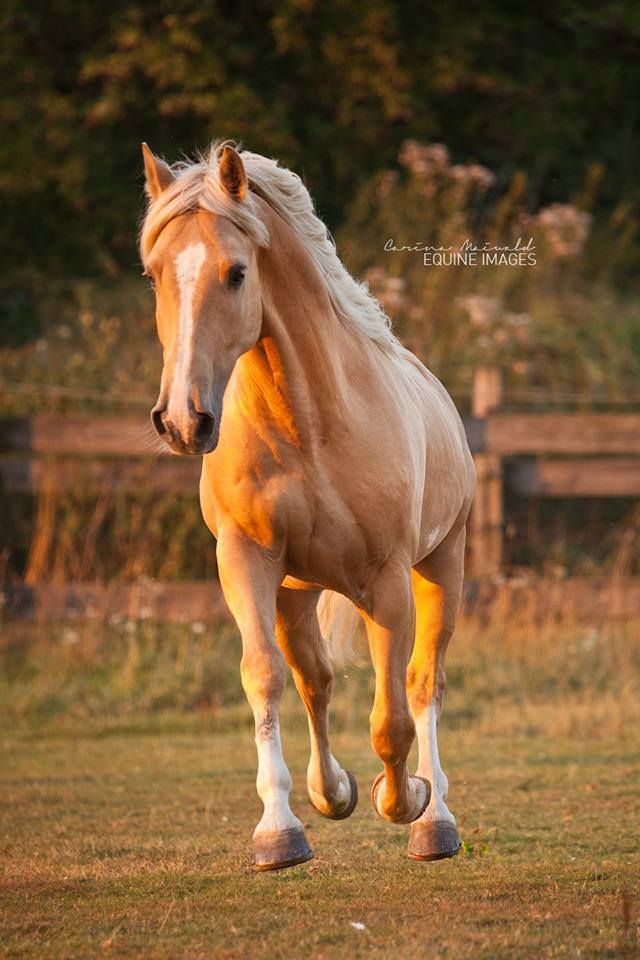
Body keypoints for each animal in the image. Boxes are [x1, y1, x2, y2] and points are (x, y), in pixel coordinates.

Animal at [140, 141, 476, 872]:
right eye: (153, 276)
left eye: (237, 273)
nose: (183, 420)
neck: (310, 424)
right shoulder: (246, 562)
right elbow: (264, 678)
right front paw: (280, 832)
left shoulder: (387, 580)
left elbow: (392, 718)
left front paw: (404, 798)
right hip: (296, 592)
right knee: (314, 681)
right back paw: (334, 792)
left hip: (442, 566)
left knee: (423, 682)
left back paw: (434, 819)